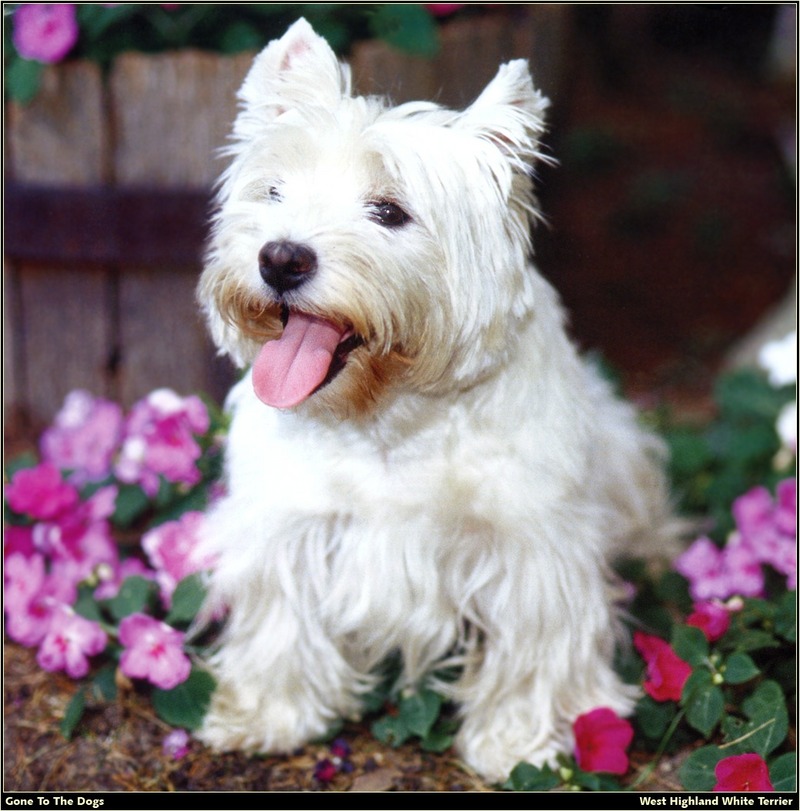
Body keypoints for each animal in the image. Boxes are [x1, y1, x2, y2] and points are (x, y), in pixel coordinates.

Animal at [195, 17, 676, 780]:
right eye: (273, 192)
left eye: (390, 211)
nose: (280, 258)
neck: (391, 416)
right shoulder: (290, 524)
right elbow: (280, 618)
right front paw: (268, 714)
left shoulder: (533, 546)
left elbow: (536, 645)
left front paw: (522, 742)